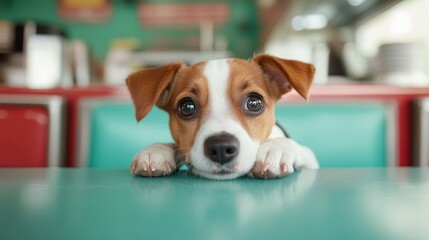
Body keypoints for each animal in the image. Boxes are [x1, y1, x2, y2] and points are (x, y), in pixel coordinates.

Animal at [125, 53, 316, 179]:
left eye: (254, 103)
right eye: (187, 107)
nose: (221, 148)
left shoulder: (311, 159)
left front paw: (276, 148)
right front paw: (157, 149)